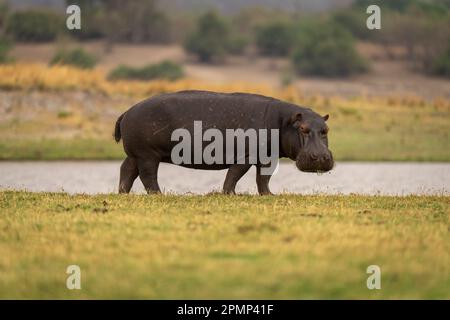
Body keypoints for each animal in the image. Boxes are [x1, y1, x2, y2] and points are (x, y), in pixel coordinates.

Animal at [113, 90, 330, 195]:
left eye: (326, 130)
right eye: (303, 129)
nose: (320, 157)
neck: (284, 121)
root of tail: (127, 111)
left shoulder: (268, 156)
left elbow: (263, 178)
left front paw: (269, 195)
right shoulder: (246, 156)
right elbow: (235, 174)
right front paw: (230, 194)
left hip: (135, 154)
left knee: (127, 170)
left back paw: (123, 193)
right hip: (147, 155)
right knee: (148, 176)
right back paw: (158, 195)